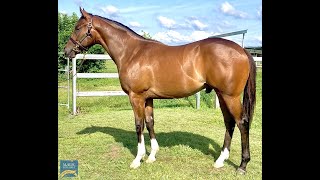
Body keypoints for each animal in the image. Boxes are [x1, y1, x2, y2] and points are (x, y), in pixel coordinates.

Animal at [63, 7, 256, 174]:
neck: (132, 52)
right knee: (229, 123)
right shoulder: (148, 98)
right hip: (222, 95)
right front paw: (152, 156)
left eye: (77, 27)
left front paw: (137, 159)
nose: (66, 51)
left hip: (230, 96)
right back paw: (220, 160)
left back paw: (242, 165)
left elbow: (139, 124)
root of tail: (242, 50)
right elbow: (150, 122)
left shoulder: (136, 97)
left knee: (242, 122)